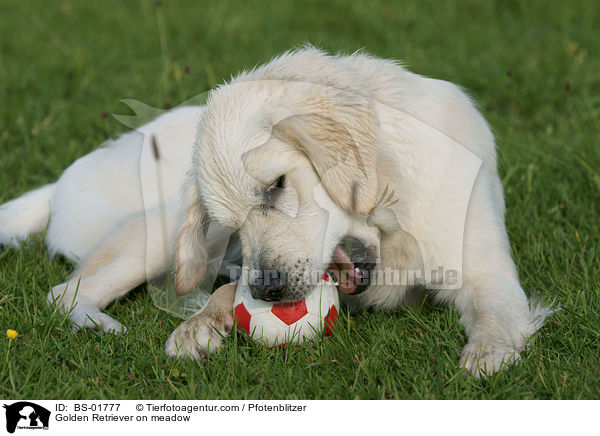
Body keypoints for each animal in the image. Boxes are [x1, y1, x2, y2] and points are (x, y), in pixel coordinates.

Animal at [0, 46, 552, 374]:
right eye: (232, 226)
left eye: (275, 187)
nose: (268, 290)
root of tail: (58, 183)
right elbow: (226, 291)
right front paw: (201, 324)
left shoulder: (486, 272)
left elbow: (495, 316)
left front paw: (486, 353)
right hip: (158, 232)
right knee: (63, 292)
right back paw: (111, 325)